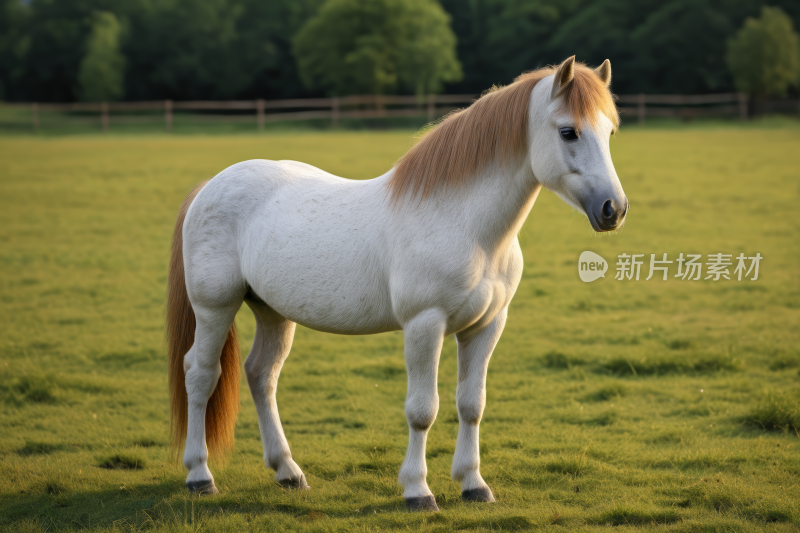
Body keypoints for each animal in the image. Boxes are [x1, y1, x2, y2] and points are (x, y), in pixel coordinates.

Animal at [169, 56, 628, 510]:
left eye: (610, 131)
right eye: (568, 131)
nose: (614, 209)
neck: (466, 226)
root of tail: (208, 187)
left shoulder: (486, 326)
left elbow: (471, 405)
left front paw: (473, 484)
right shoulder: (424, 325)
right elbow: (422, 410)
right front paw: (417, 490)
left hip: (273, 311)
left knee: (262, 374)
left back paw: (288, 471)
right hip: (215, 307)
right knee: (201, 374)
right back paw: (200, 476)